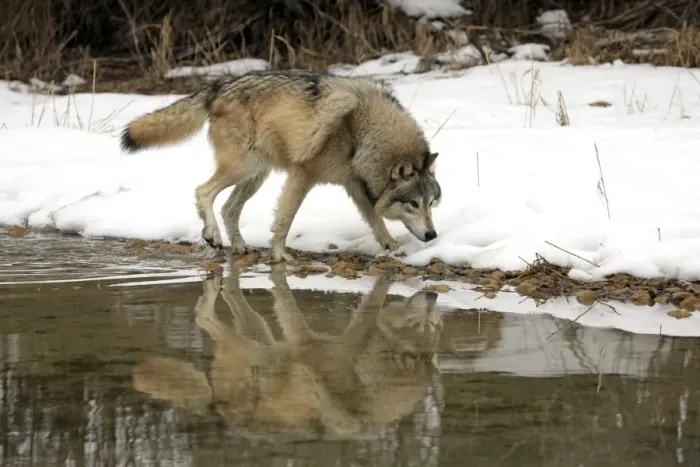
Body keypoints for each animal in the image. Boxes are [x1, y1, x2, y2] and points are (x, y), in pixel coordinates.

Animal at [119, 70, 442, 262]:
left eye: (431, 203)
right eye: (413, 204)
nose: (432, 236)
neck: (362, 132)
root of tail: (219, 85)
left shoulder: (354, 186)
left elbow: (375, 220)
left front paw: (393, 247)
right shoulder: (303, 175)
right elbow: (285, 219)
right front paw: (279, 256)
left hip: (255, 175)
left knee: (229, 208)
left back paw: (239, 246)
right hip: (242, 168)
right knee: (203, 192)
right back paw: (213, 235)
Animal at [132, 264, 443, 441]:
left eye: (435, 323)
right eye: (423, 324)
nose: (433, 294)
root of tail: (217, 409)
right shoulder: (308, 341)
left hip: (260, 342)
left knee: (223, 309)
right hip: (253, 351)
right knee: (203, 316)